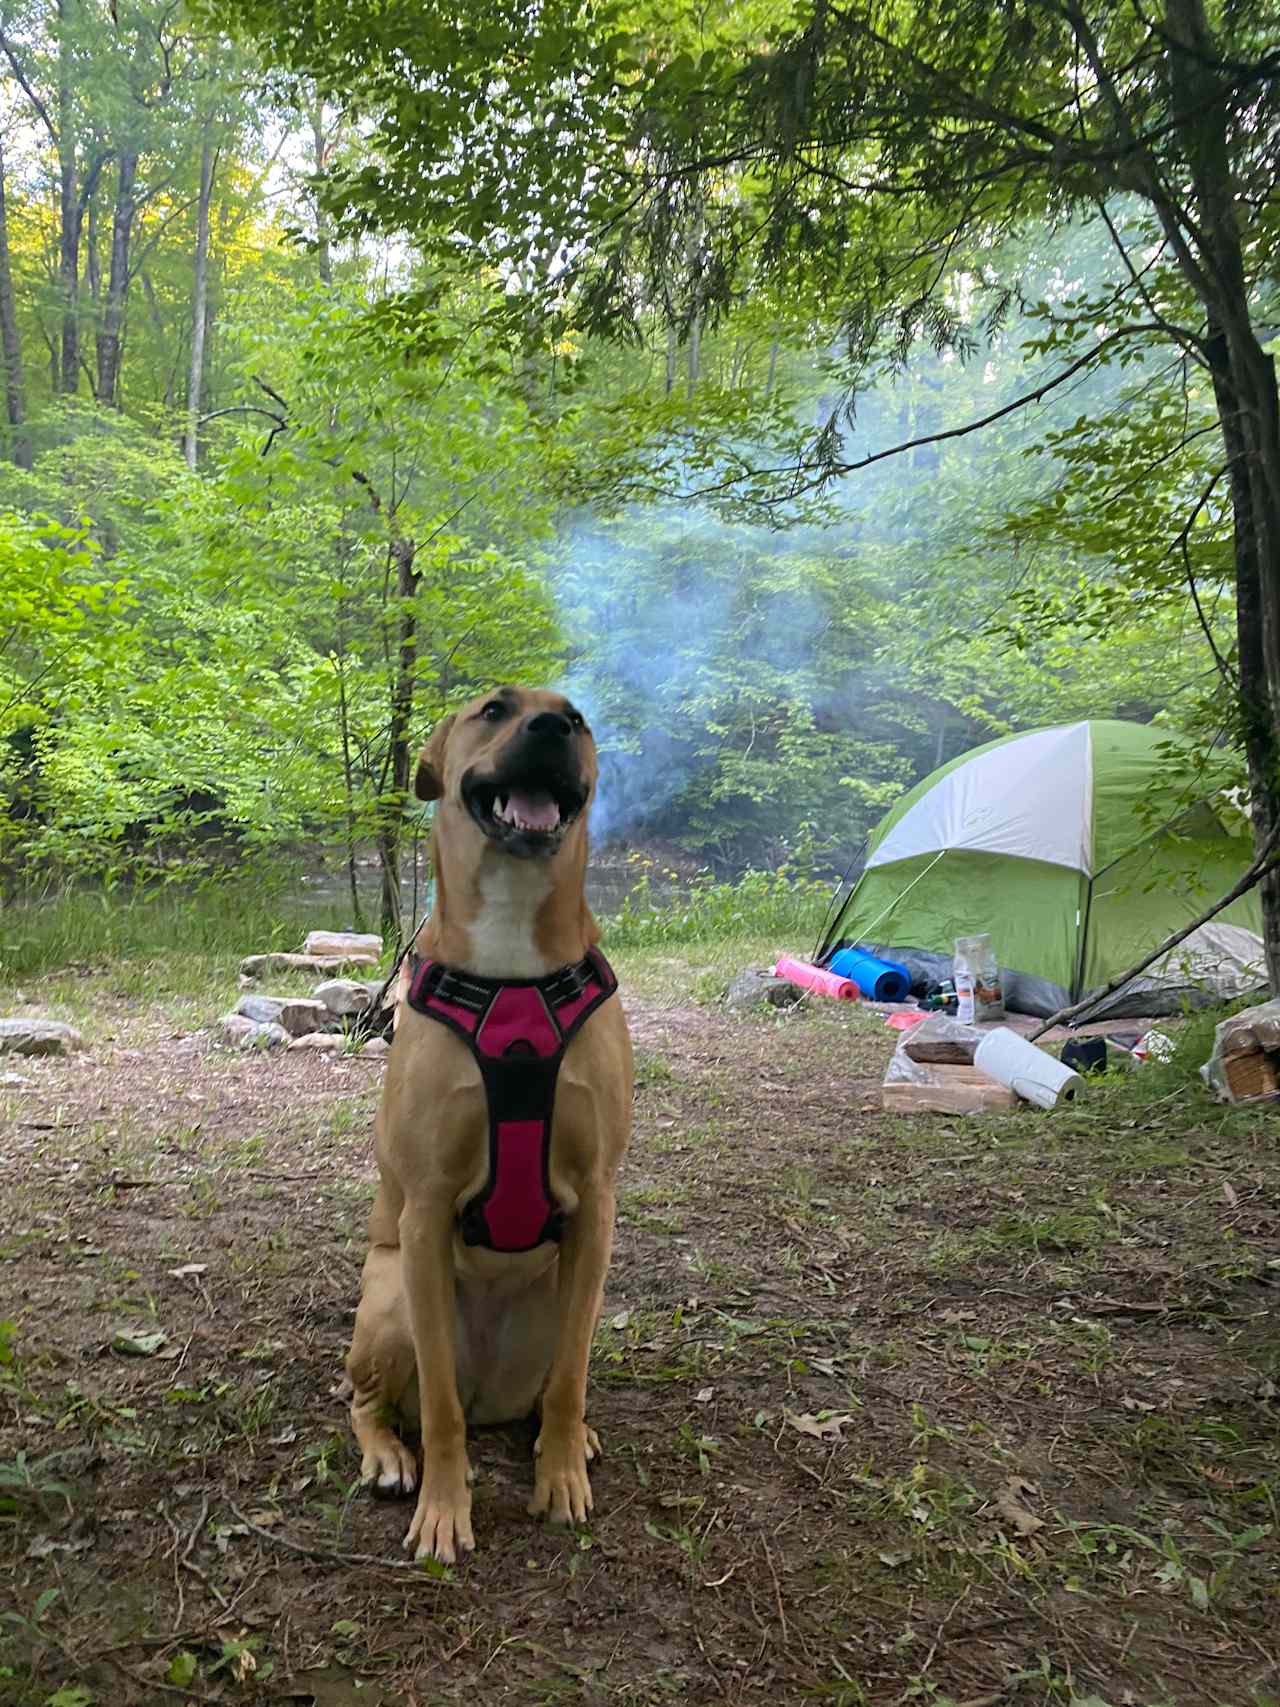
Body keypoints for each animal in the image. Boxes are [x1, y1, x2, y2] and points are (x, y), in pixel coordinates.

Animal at [346, 689, 638, 1563]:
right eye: (493, 709)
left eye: (577, 716)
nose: (552, 728)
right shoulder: (428, 1205)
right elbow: (438, 1410)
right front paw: (445, 1507)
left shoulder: (597, 1201)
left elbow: (571, 1380)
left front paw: (561, 1475)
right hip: (391, 1299)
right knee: (376, 1399)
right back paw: (388, 1454)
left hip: (563, 1297)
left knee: (553, 1382)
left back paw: (570, 1438)